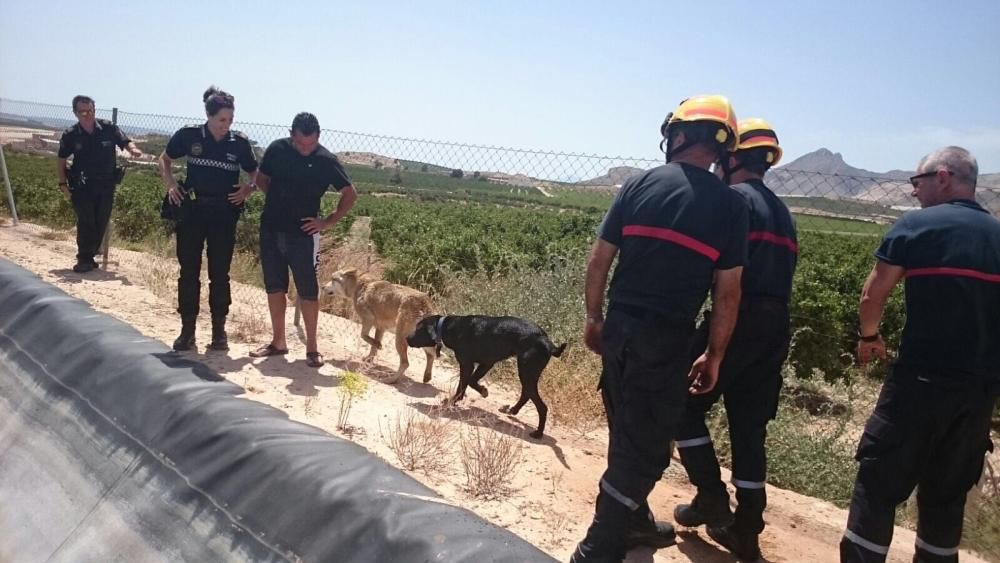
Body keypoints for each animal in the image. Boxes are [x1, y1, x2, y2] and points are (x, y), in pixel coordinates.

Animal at [404, 316, 564, 438]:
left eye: (418, 329)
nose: (407, 338)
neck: (448, 327)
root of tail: (547, 342)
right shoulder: (486, 363)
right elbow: (471, 381)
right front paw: (482, 391)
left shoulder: (467, 364)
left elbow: (464, 384)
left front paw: (452, 401)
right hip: (528, 373)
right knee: (526, 393)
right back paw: (512, 410)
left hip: (527, 371)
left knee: (542, 406)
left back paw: (538, 433)